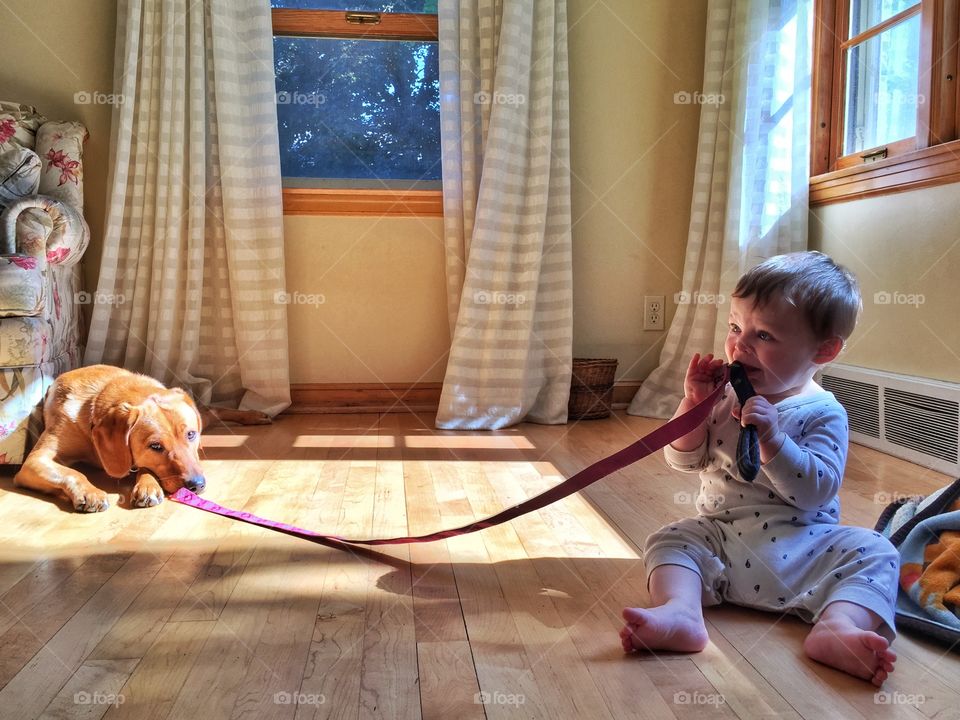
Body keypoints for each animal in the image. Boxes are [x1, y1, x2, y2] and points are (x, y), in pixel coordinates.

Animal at [12, 366, 270, 512]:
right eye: (155, 446)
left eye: (190, 435)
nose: (197, 485)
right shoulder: (34, 461)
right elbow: (72, 472)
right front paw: (90, 492)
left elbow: (143, 468)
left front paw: (147, 485)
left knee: (213, 410)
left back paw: (255, 415)